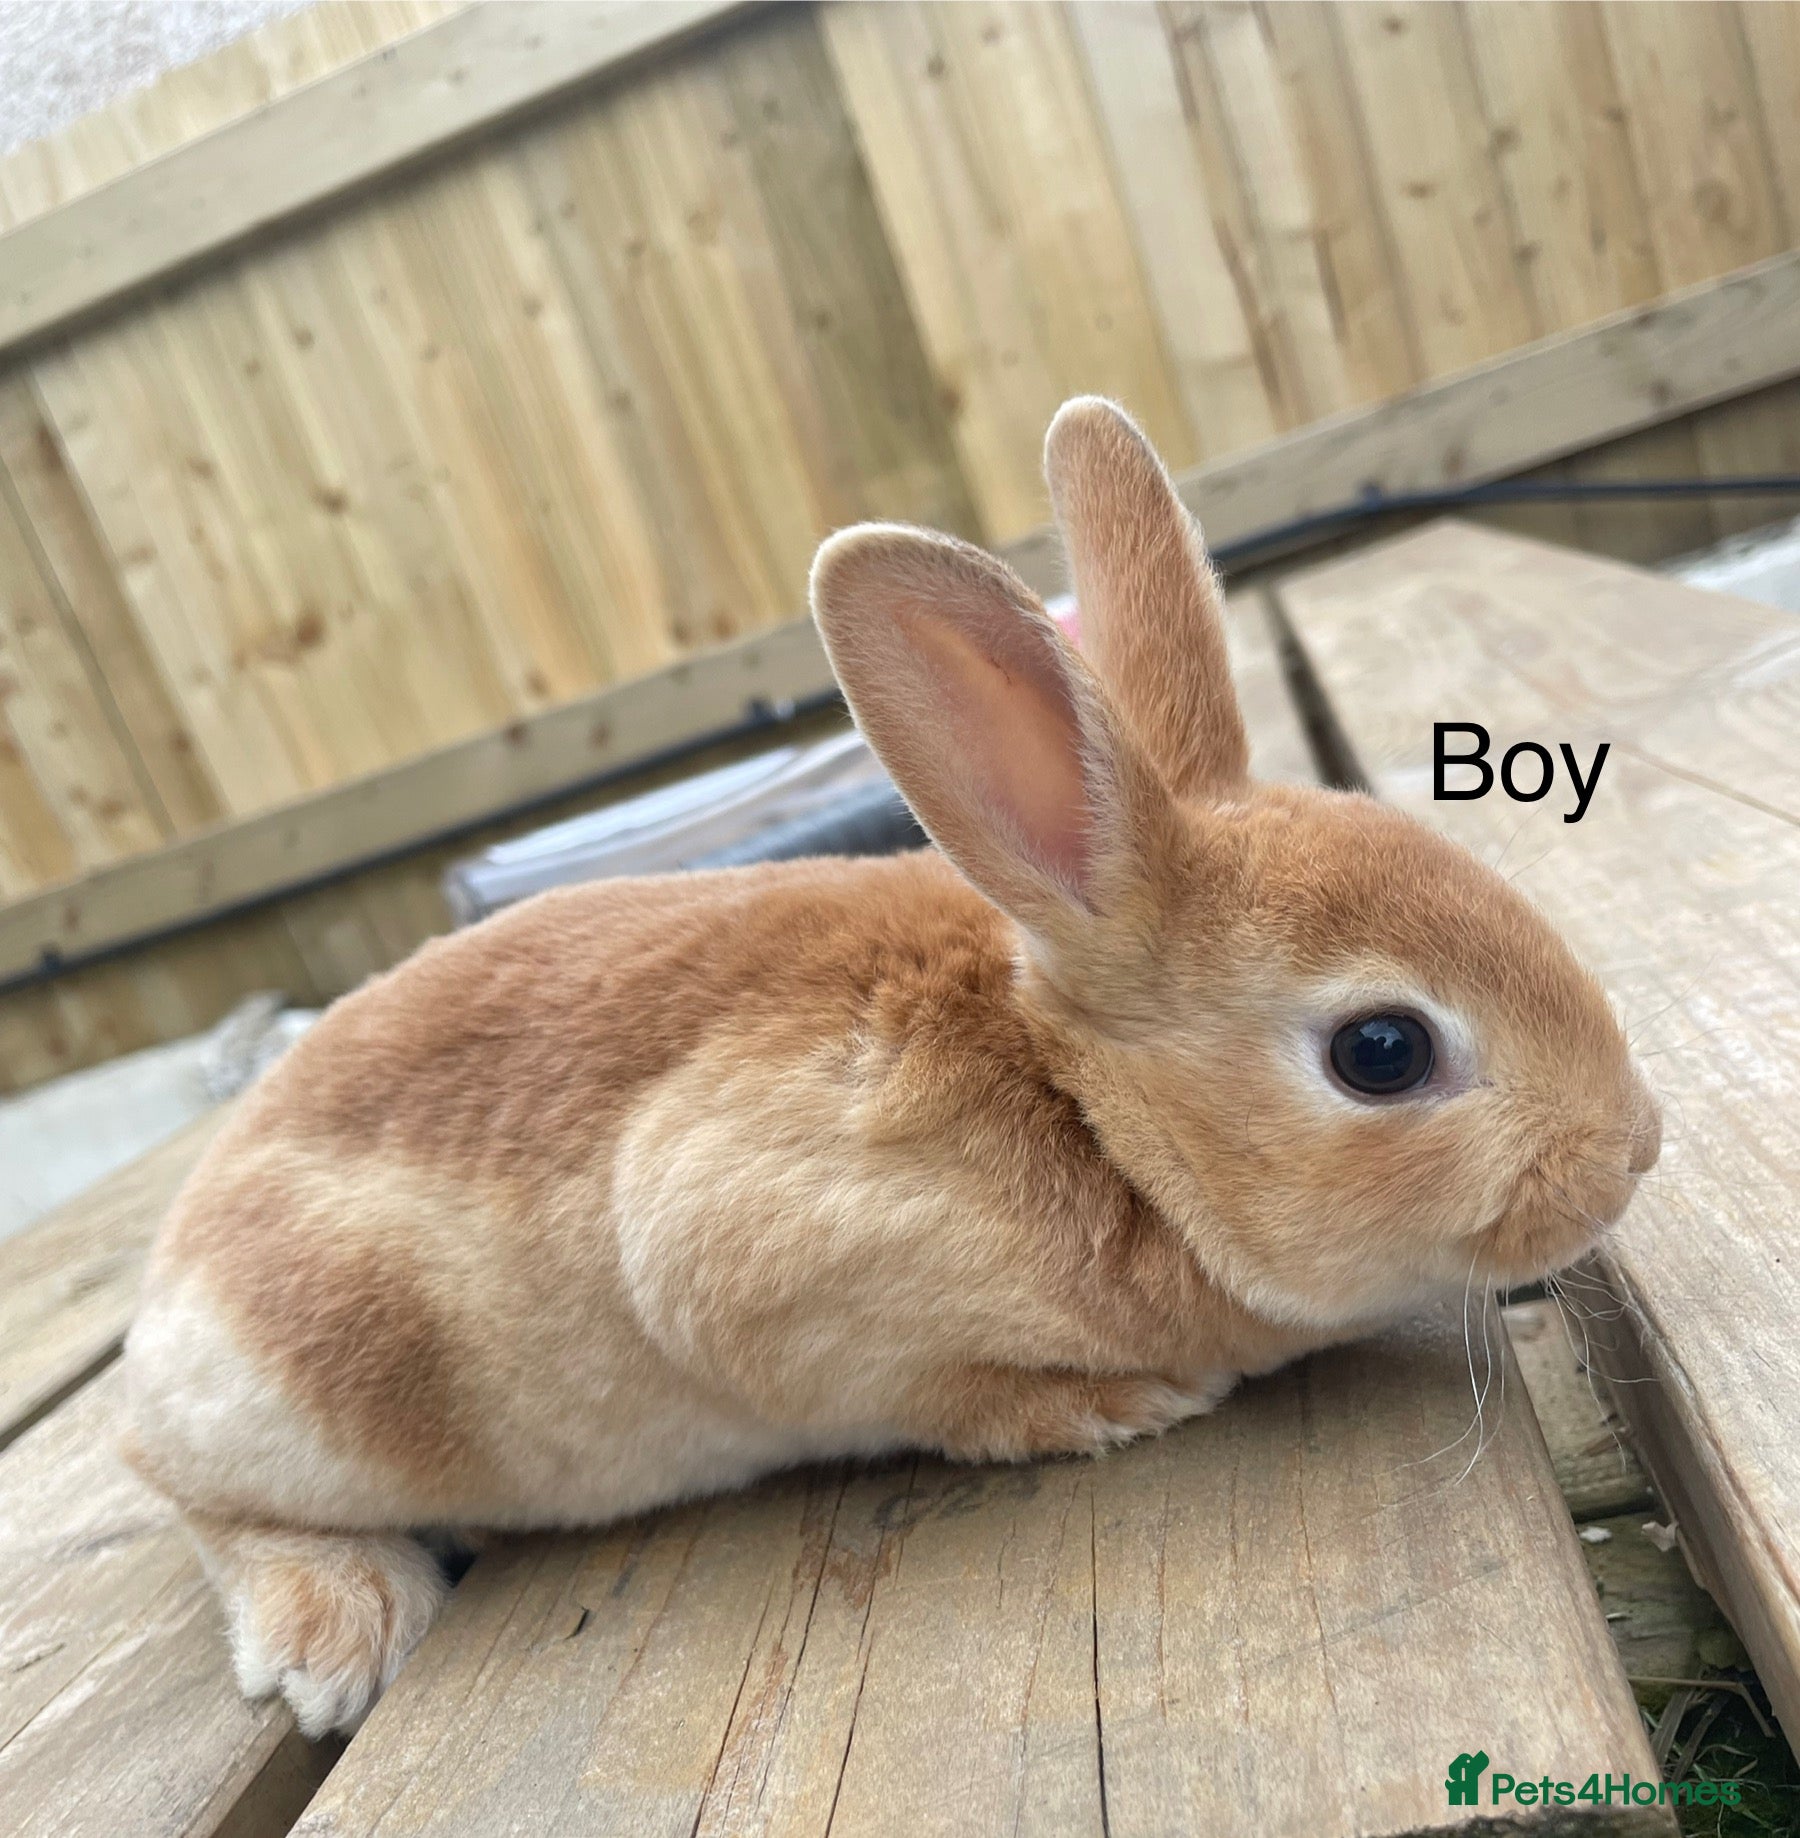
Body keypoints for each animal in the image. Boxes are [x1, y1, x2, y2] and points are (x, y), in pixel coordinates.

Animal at [122, 398, 1660, 1737]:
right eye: (1381, 1050)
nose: (1634, 1148)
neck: (1095, 1115)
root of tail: (177, 1272)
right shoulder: (750, 1262)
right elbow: (941, 1391)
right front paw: (1112, 1403)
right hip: (316, 1380)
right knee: (189, 1491)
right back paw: (336, 1629)